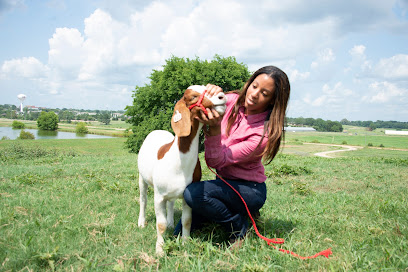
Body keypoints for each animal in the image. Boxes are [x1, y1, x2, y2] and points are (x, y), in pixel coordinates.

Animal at [137, 85, 226, 255]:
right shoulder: (158, 197)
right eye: (192, 96)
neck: (178, 162)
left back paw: (171, 223)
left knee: (171, 203)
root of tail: (157, 131)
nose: (222, 96)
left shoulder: (187, 196)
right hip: (141, 178)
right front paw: (160, 250)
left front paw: (185, 243)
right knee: (143, 199)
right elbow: (160, 224)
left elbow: (186, 221)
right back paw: (141, 222)